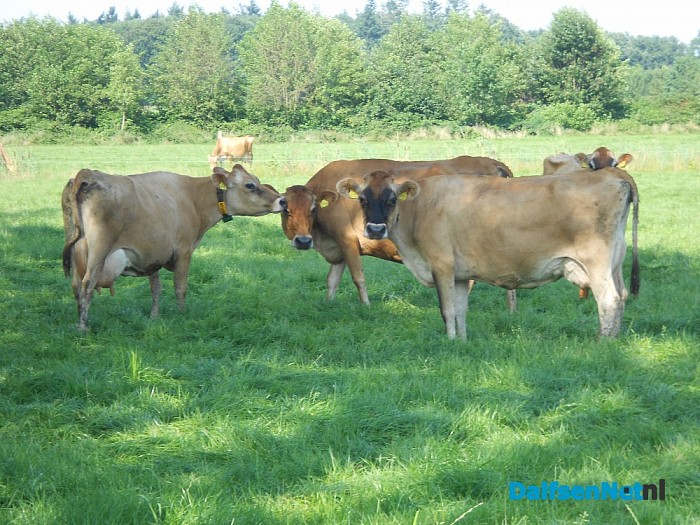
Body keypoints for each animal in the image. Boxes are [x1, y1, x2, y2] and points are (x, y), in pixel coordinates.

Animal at [61, 164, 282, 331]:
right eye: (250, 185)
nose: (281, 200)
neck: (194, 198)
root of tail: (88, 173)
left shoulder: (151, 254)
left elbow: (156, 288)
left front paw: (154, 317)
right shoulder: (184, 250)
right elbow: (180, 287)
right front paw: (182, 314)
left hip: (75, 251)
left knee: (75, 285)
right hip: (99, 249)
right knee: (87, 284)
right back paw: (83, 327)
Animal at [279, 156, 516, 312]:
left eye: (312, 209)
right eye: (286, 209)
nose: (303, 241)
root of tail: (493, 163)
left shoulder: (346, 239)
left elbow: (358, 278)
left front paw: (366, 306)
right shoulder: (338, 248)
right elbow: (332, 280)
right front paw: (329, 303)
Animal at [337, 168, 640, 339]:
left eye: (391, 199)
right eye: (362, 199)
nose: (375, 229)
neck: (419, 210)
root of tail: (612, 174)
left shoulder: (442, 266)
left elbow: (446, 309)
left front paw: (449, 342)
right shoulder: (459, 275)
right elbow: (460, 310)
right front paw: (461, 342)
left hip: (596, 260)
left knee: (609, 300)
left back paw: (602, 343)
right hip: (615, 260)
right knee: (622, 295)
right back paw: (615, 340)